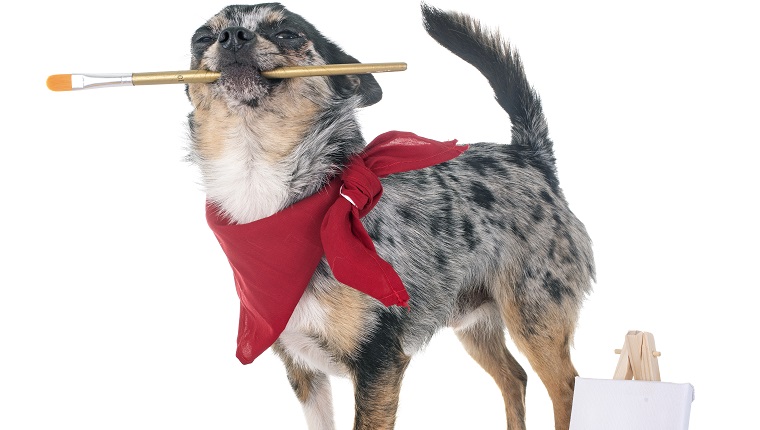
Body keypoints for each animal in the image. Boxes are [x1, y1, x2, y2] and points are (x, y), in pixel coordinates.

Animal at [184, 3, 592, 430]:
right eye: (202, 38)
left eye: (288, 34)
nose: (232, 36)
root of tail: (531, 156)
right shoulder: (303, 369)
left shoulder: (378, 363)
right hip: (475, 324)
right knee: (514, 377)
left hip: (535, 323)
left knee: (566, 388)